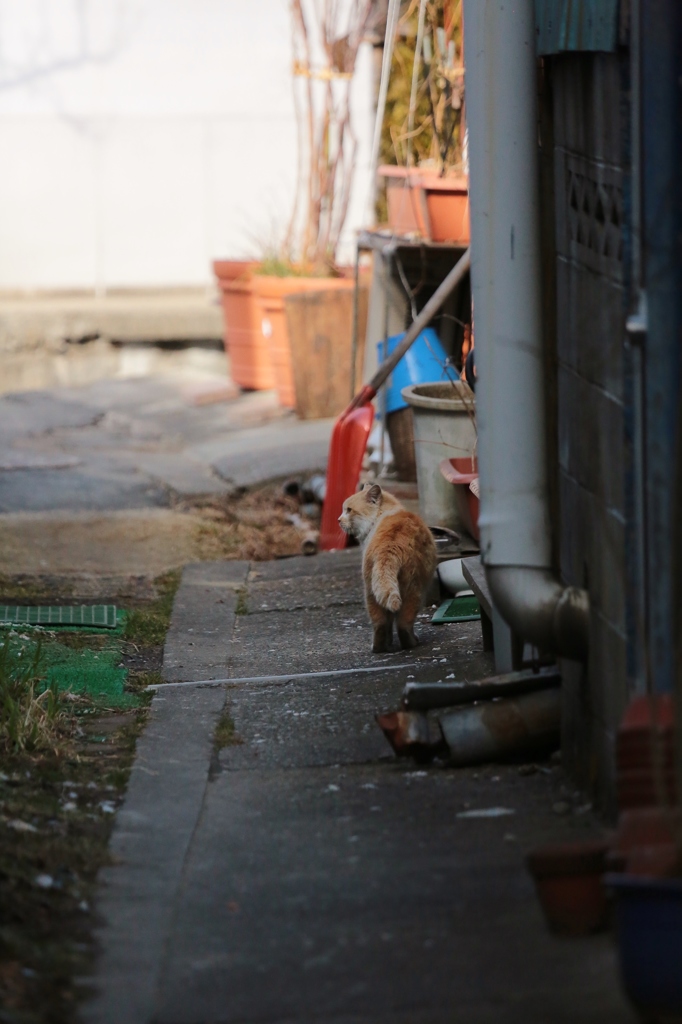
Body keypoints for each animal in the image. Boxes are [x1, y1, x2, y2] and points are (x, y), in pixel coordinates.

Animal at [335, 483, 436, 651]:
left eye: (348, 510)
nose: (338, 520)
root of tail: (390, 547)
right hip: (415, 591)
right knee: (403, 625)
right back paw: (412, 643)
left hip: (371, 592)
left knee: (381, 625)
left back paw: (379, 648)